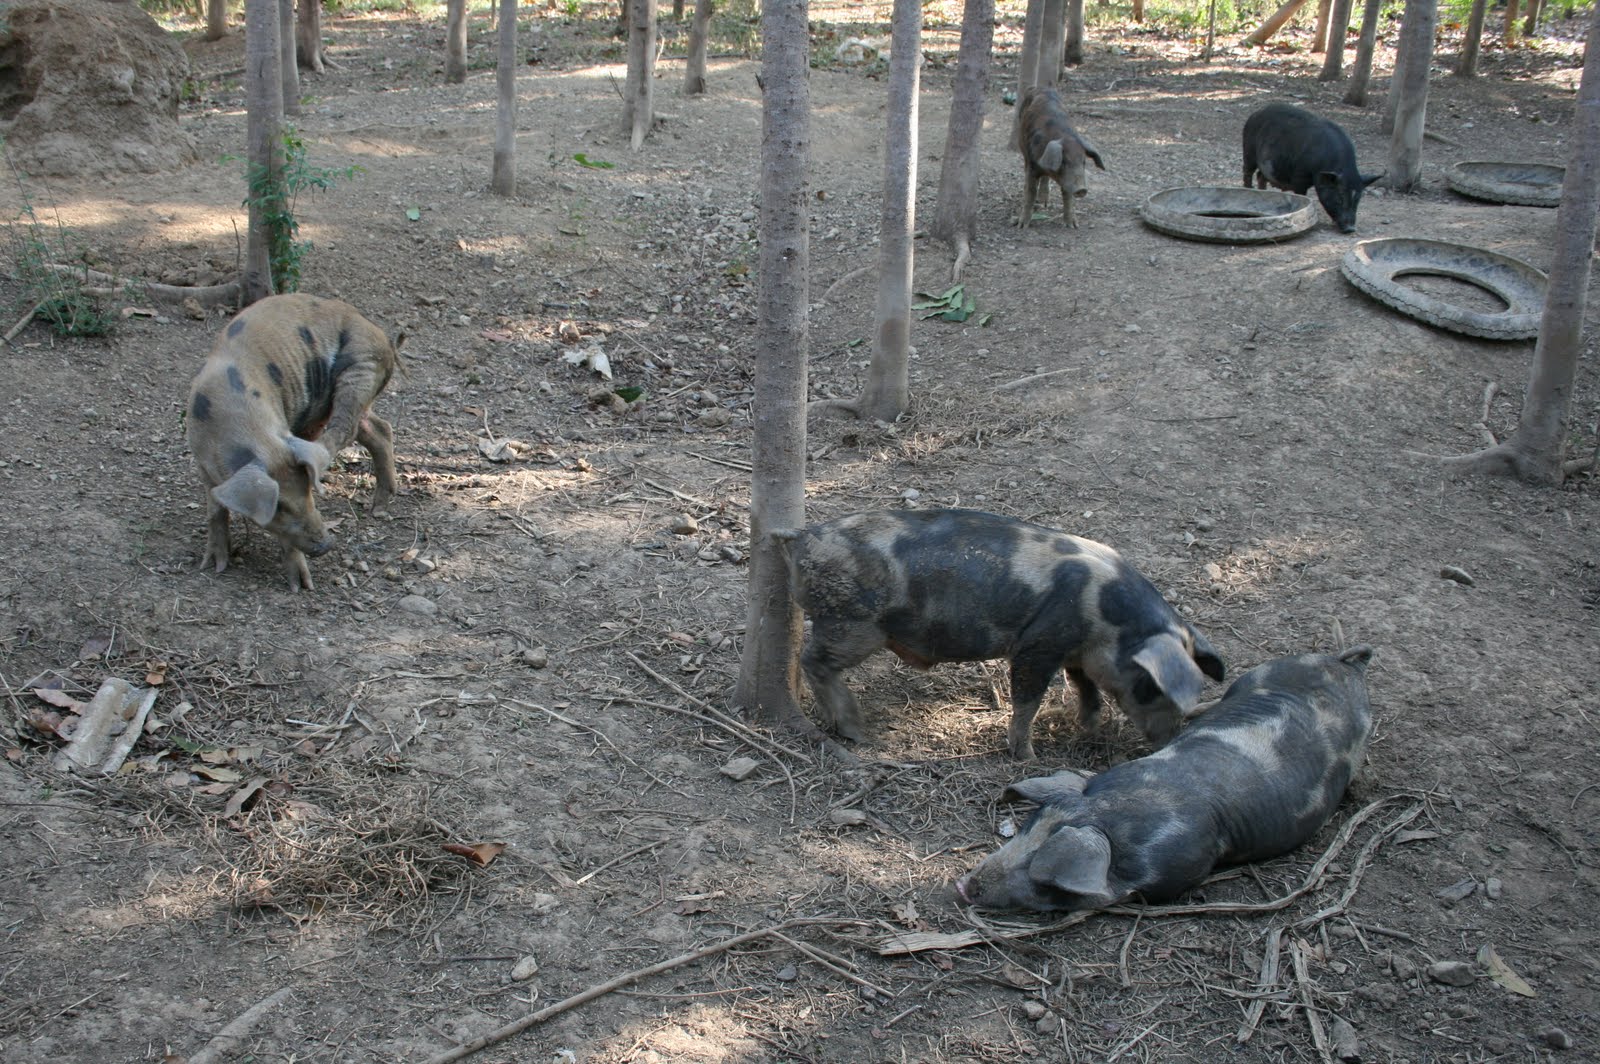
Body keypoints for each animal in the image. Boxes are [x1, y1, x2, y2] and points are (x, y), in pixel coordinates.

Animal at [185, 293, 403, 591]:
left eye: (307, 492)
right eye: (278, 506)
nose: (327, 545)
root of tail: (383, 336)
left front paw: (302, 587)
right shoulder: (203, 464)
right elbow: (215, 510)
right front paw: (214, 566)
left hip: (361, 368)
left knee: (346, 428)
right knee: (379, 429)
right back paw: (379, 506)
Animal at [772, 509, 1225, 760]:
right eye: (1150, 685)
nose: (1170, 741)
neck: (1105, 617)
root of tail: (806, 536)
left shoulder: (1072, 651)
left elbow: (1086, 687)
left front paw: (1090, 727)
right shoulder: (1038, 646)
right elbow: (1028, 700)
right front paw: (1027, 757)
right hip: (853, 624)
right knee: (811, 660)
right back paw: (856, 730)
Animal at [1015, 85, 1106, 230]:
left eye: (1083, 162)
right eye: (1064, 162)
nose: (1082, 189)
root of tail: (1038, 87)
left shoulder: (1067, 178)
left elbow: (1067, 196)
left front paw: (1073, 226)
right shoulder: (1031, 165)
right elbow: (1030, 192)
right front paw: (1022, 226)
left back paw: (1044, 202)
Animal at [1241, 103, 1383, 234]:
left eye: (1357, 199)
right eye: (1339, 197)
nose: (1350, 229)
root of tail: (1255, 113)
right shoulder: (1299, 176)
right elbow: (1301, 194)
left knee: (1260, 175)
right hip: (1248, 151)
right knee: (1247, 172)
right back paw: (1248, 190)